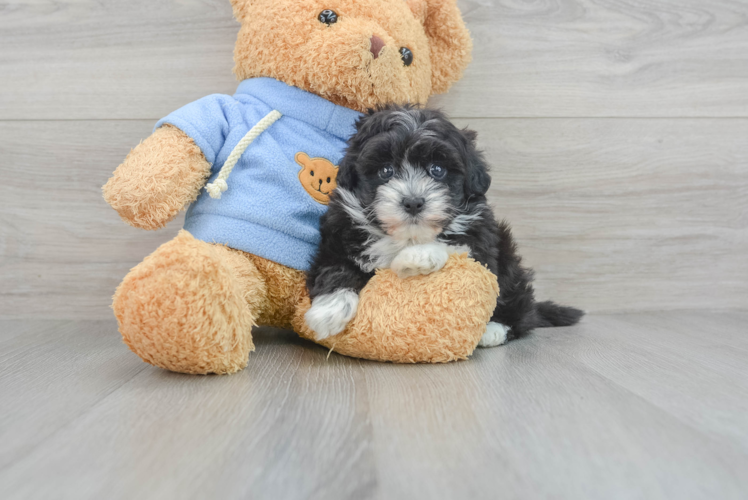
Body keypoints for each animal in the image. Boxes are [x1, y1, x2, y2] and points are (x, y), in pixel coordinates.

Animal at [304, 104, 584, 348]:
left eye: (437, 169)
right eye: (385, 171)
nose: (413, 202)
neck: (406, 236)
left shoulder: (481, 238)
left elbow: (456, 247)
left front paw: (416, 257)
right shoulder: (337, 237)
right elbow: (335, 268)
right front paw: (329, 311)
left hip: (507, 258)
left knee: (519, 308)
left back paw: (493, 330)